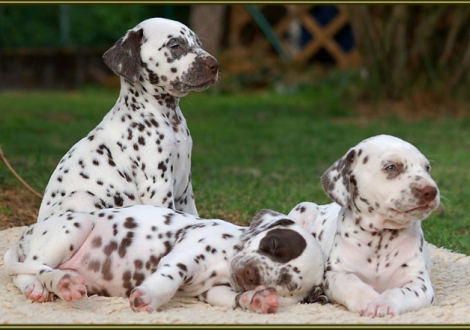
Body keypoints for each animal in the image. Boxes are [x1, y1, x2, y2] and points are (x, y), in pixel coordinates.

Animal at [4, 208, 326, 314]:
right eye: (273, 245)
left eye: (286, 282)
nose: (250, 275)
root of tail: (27, 232)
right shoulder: (184, 258)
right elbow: (169, 279)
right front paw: (149, 297)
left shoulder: (214, 291)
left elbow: (235, 298)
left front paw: (257, 299)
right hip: (76, 225)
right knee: (28, 271)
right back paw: (49, 285)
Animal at [37, 16, 219, 222]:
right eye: (175, 45)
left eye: (198, 44)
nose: (215, 65)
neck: (167, 117)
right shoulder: (157, 186)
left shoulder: (185, 192)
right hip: (82, 197)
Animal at [286, 134, 440, 318]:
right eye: (391, 167)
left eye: (427, 168)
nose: (431, 191)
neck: (381, 236)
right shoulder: (336, 274)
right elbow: (352, 284)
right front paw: (369, 300)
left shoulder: (420, 283)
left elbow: (398, 292)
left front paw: (383, 303)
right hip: (304, 207)